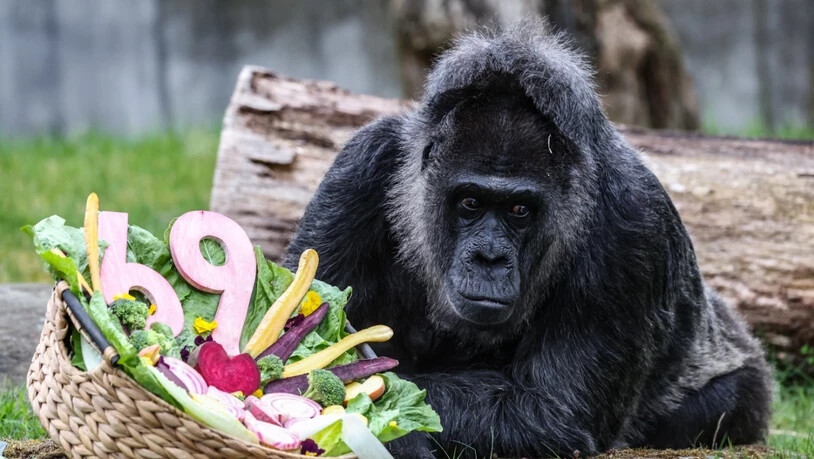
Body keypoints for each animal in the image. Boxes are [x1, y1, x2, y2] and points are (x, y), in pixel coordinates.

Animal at [284, 22, 772, 458]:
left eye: (520, 211)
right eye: (470, 203)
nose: (489, 258)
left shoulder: (634, 222)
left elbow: (550, 410)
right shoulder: (360, 167)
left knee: (728, 401)